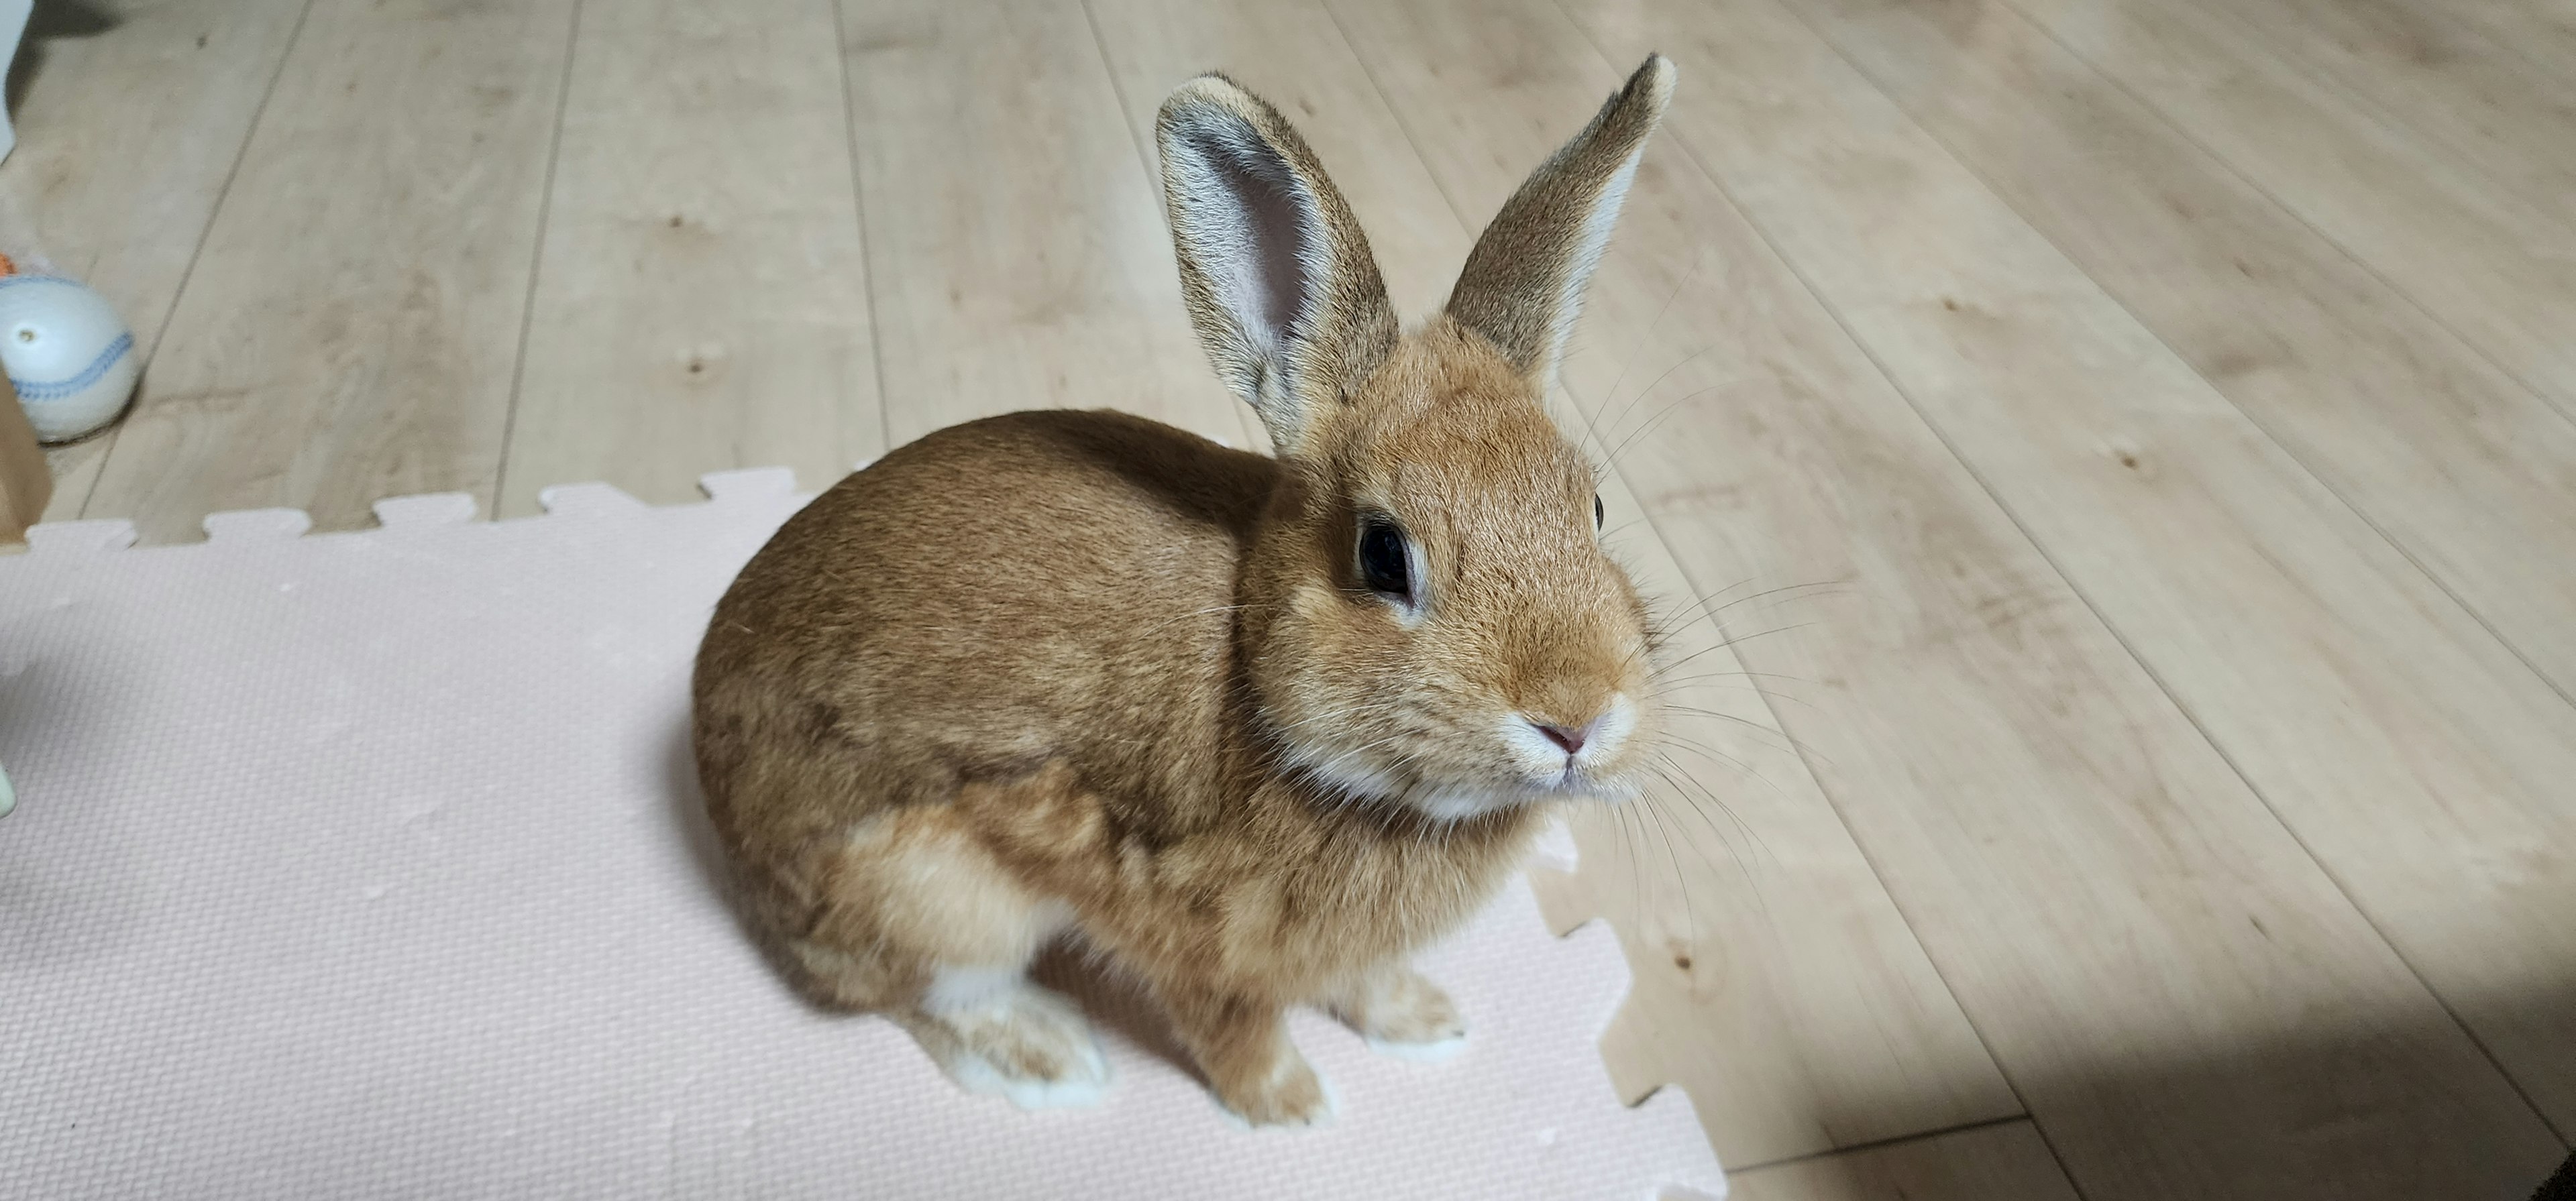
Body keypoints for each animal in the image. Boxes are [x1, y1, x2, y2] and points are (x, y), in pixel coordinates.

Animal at [695, 54, 1679, 1123]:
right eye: (1383, 555)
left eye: (1593, 509)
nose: (1576, 719)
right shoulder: (1185, 924)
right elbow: (1233, 1023)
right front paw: (1295, 1106)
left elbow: (1363, 980)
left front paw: (1424, 1020)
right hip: (933, 898)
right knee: (906, 994)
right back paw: (1049, 1057)